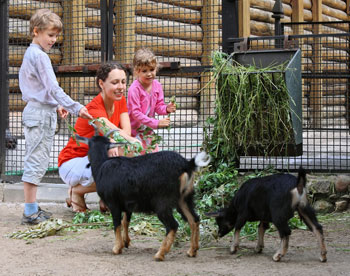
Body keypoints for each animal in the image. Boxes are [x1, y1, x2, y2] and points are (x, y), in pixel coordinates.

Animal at [76, 127, 211, 260]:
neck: (101, 167)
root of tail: (186, 164)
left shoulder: (113, 203)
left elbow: (117, 224)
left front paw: (116, 248)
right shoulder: (128, 204)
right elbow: (126, 221)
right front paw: (126, 242)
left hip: (163, 202)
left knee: (173, 225)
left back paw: (160, 254)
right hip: (184, 198)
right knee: (194, 219)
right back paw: (192, 251)